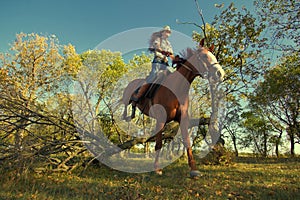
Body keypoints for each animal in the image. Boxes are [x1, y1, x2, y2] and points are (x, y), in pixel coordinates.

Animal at [121, 44, 223, 178]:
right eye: (204, 56)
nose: (220, 73)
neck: (176, 89)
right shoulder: (160, 120)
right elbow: (159, 144)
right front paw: (157, 169)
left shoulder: (183, 120)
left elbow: (187, 142)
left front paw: (194, 170)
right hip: (126, 96)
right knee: (124, 104)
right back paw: (126, 114)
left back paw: (131, 115)